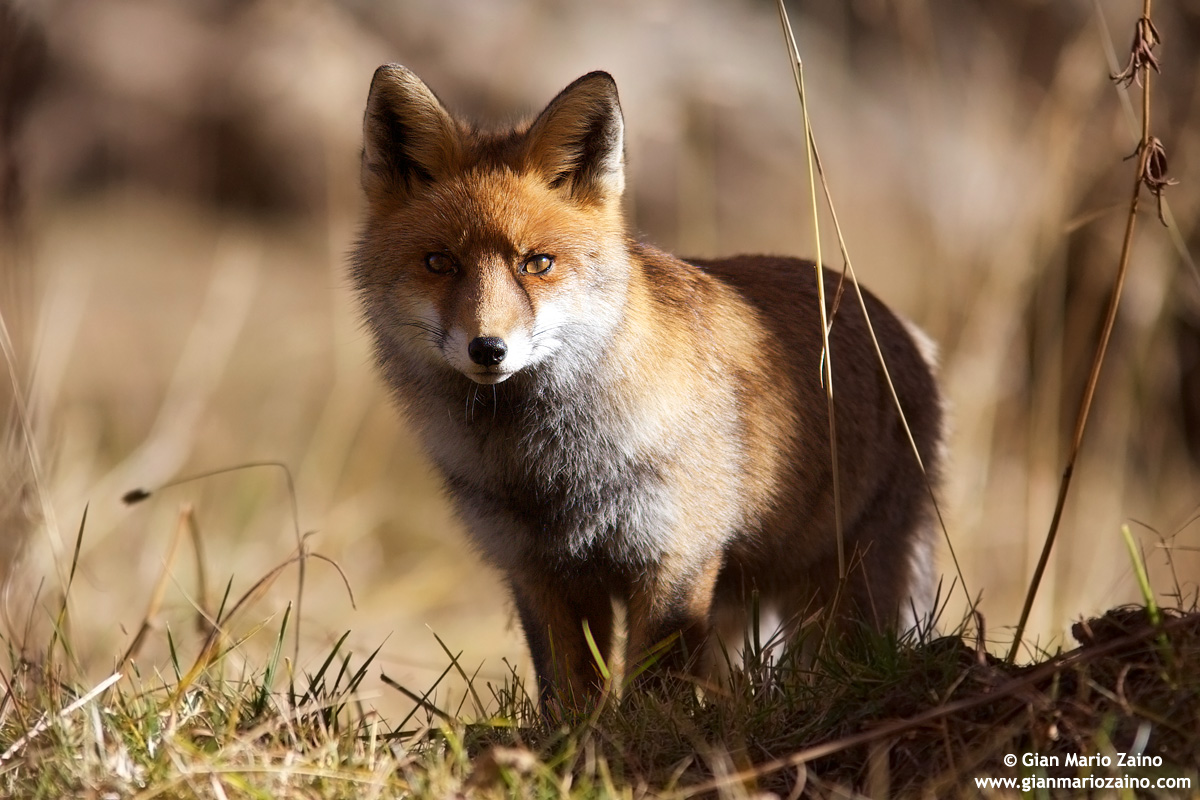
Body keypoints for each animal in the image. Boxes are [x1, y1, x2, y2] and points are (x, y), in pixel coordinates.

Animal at [351, 64, 945, 712]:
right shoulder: (539, 570)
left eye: (537, 264)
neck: (551, 473)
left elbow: (652, 692)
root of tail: (899, 323)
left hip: (843, 592)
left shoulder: (675, 560)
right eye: (439, 263)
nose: (489, 349)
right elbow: (569, 695)